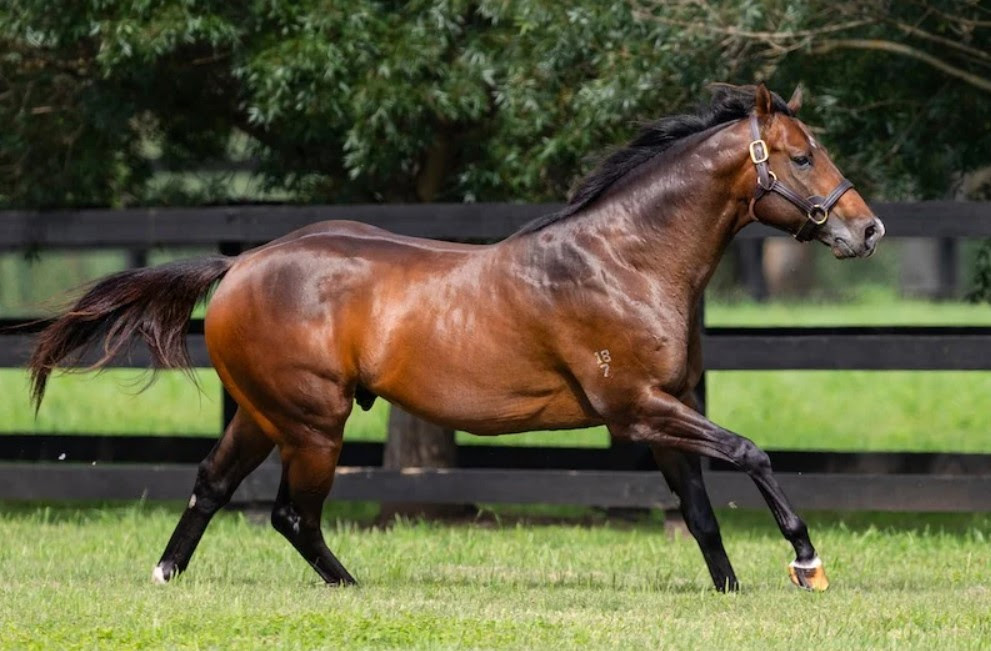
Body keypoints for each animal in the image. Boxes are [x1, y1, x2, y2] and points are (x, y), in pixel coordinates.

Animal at [28, 83, 884, 592]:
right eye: (801, 155)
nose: (866, 228)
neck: (624, 260)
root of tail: (239, 265)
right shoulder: (636, 407)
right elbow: (750, 452)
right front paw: (805, 561)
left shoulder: (662, 412)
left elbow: (701, 510)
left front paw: (730, 591)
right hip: (312, 422)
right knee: (291, 514)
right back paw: (348, 587)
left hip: (262, 415)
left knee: (212, 485)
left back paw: (167, 575)